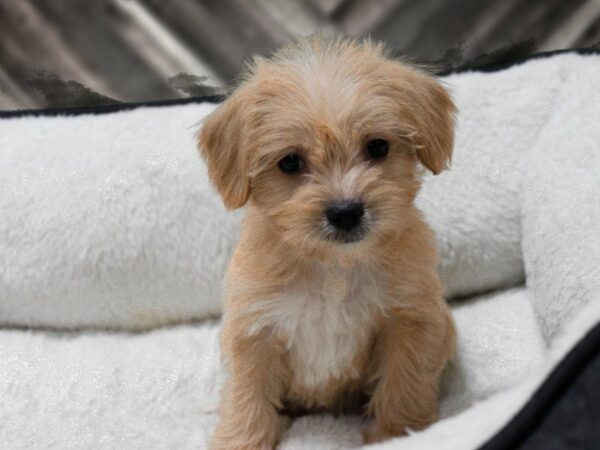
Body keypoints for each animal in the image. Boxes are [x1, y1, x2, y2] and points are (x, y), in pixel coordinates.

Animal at [199, 36, 458, 450]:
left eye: (377, 146)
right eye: (290, 162)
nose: (346, 211)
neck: (334, 265)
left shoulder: (409, 319)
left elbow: (404, 381)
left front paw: (396, 434)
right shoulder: (255, 329)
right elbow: (247, 395)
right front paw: (240, 441)